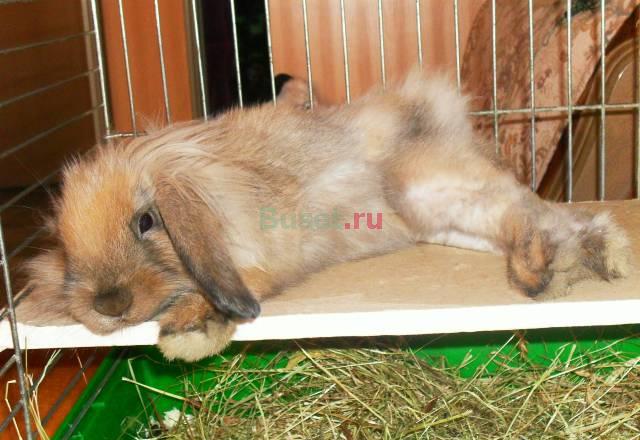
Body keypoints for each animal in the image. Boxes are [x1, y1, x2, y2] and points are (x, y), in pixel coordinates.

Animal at [15, 70, 632, 362]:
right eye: (65, 245)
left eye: (146, 221)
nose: (107, 304)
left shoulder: (250, 263)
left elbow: (224, 295)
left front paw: (188, 333)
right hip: (443, 218)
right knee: (541, 218)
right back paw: (577, 263)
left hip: (430, 186)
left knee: (532, 213)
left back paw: (555, 267)